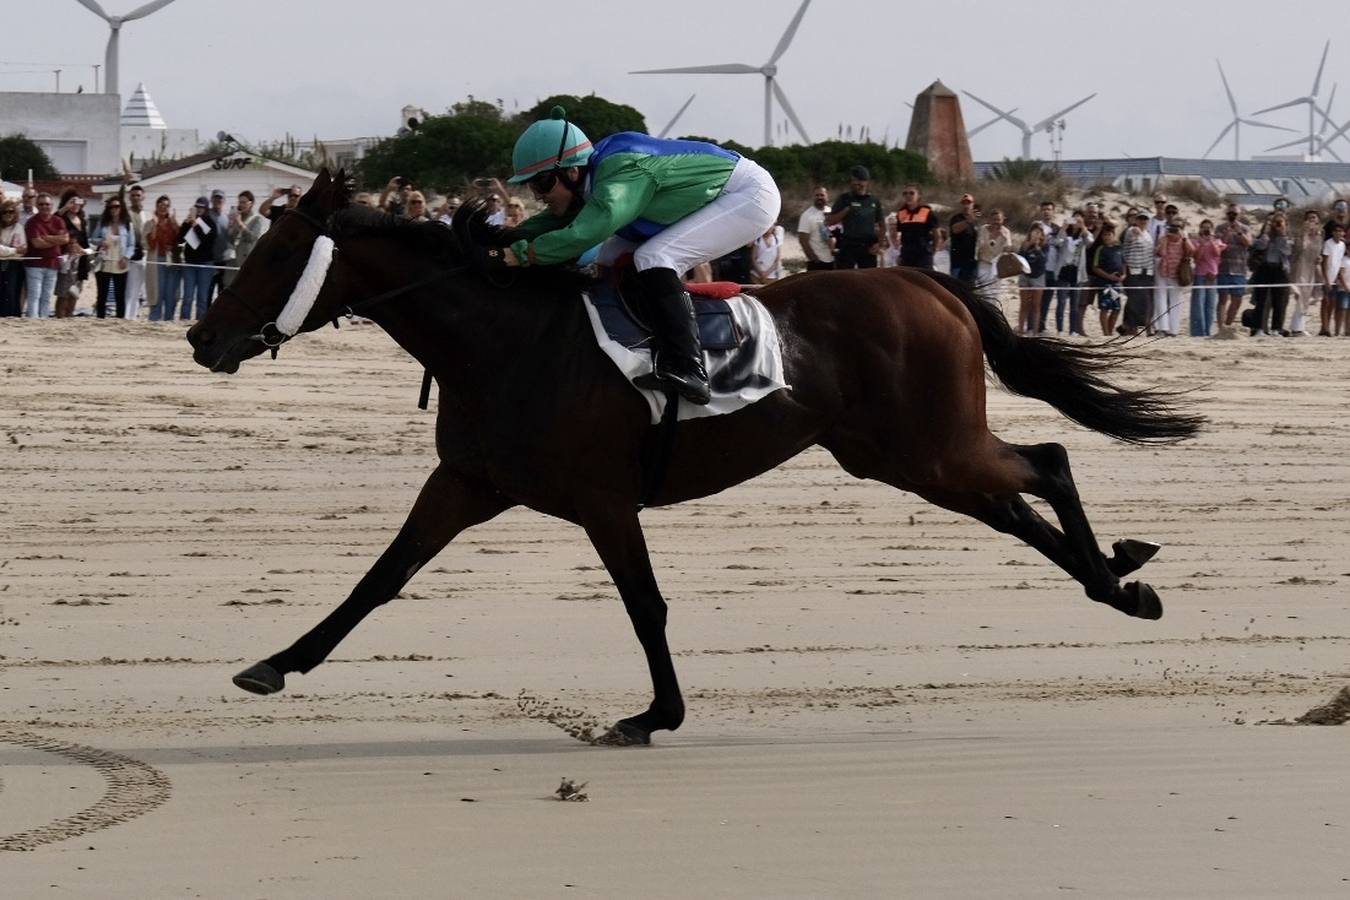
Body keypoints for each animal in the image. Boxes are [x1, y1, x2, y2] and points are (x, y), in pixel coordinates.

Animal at [187, 168, 1204, 744]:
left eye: (274, 252)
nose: (203, 337)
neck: (504, 341)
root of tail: (930, 282)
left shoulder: (603, 500)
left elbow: (645, 606)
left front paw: (655, 714)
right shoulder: (469, 482)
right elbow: (380, 578)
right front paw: (275, 663)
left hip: (931, 448)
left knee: (1048, 460)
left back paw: (1118, 576)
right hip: (901, 456)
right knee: (1020, 499)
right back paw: (1121, 579)